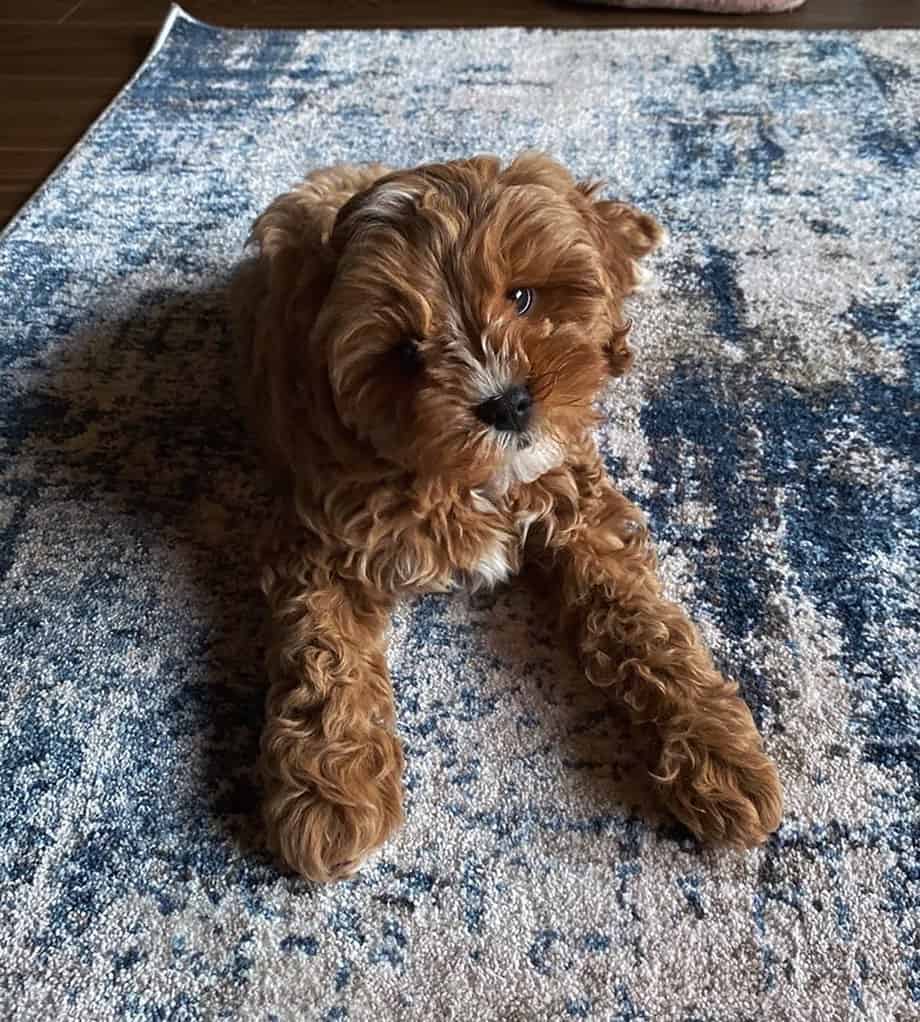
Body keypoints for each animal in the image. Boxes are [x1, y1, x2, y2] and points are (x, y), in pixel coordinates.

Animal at [232, 155, 785, 883]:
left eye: (521, 298)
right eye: (405, 353)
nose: (508, 404)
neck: (467, 482)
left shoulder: (580, 507)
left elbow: (643, 623)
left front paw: (719, 756)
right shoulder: (319, 538)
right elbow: (323, 656)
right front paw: (331, 796)